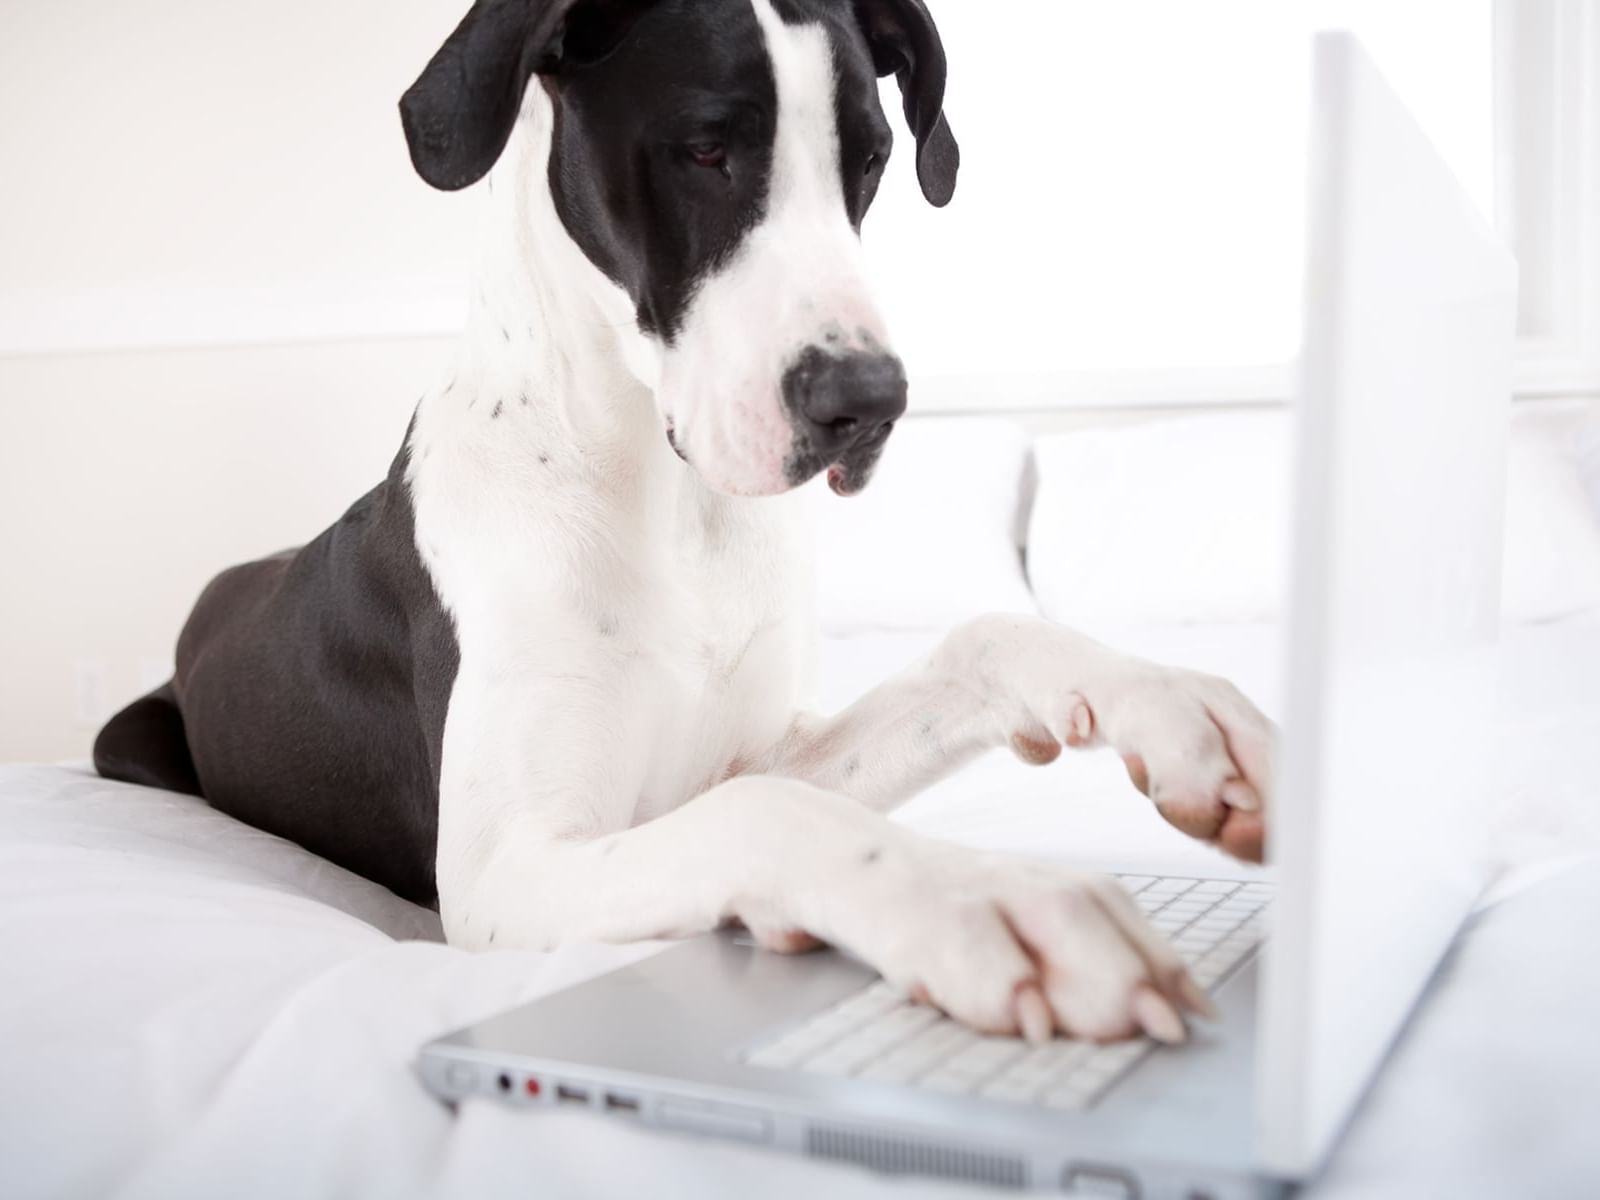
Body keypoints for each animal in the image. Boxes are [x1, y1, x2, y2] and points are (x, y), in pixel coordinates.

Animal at [96, 0, 1273, 1049]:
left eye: (870, 161)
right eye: (707, 149)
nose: (868, 402)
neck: (671, 502)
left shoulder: (765, 749)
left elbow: (974, 644)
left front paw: (1169, 704)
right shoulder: (502, 875)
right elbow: (763, 819)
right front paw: (988, 901)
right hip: (131, 747)